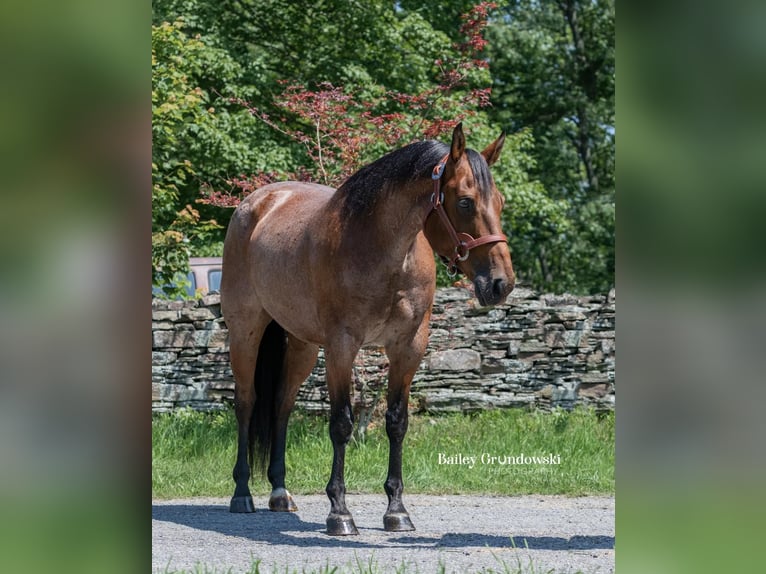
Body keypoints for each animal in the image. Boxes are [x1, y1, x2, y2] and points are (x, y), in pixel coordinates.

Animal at [219, 124, 516, 536]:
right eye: (465, 203)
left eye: (500, 203)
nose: (501, 284)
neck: (385, 251)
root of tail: (258, 203)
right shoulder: (343, 346)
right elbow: (342, 423)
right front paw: (340, 513)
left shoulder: (408, 347)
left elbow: (397, 422)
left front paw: (396, 510)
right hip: (246, 331)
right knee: (247, 403)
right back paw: (242, 494)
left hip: (302, 345)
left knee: (281, 405)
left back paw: (279, 492)